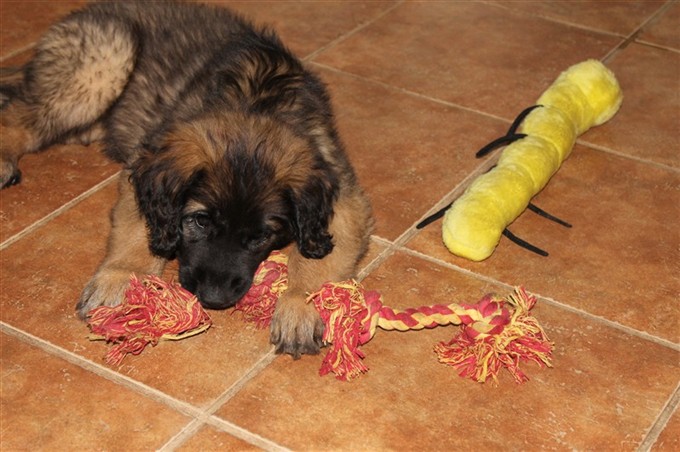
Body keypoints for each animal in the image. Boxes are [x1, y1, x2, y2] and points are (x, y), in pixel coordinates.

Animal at [0, 1, 372, 358]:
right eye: (199, 221)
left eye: (260, 237)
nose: (213, 297)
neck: (255, 104)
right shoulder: (145, 167)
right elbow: (136, 233)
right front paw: (120, 279)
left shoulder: (341, 199)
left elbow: (315, 258)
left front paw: (298, 305)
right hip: (103, 64)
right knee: (22, 114)